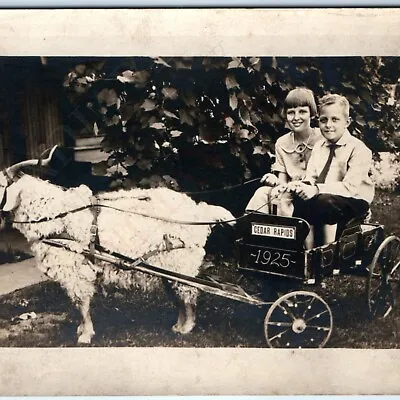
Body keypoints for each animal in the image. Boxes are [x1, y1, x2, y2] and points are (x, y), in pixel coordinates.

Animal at [0, 149, 234, 344]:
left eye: (1, 186)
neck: (54, 212)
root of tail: (199, 211)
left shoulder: (76, 271)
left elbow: (81, 304)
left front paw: (85, 335)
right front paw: (81, 330)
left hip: (181, 262)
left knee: (188, 294)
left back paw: (187, 327)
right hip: (168, 264)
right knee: (180, 295)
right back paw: (179, 325)